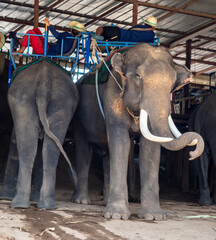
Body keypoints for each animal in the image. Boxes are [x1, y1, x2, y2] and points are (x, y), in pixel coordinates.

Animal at [72, 43, 204, 221]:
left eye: (172, 83)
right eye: (138, 76)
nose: (192, 153)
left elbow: (150, 148)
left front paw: (153, 217)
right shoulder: (113, 95)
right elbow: (121, 142)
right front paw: (116, 216)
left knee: (107, 156)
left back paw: (103, 202)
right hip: (78, 119)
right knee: (84, 151)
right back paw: (81, 201)